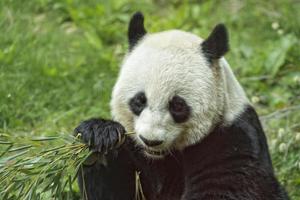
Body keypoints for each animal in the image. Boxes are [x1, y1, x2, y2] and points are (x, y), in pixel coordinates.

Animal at [74, 11, 288, 199]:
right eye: (139, 101)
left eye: (177, 106)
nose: (151, 140)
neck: (163, 156)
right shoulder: (137, 154)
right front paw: (101, 135)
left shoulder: (232, 139)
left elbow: (225, 187)